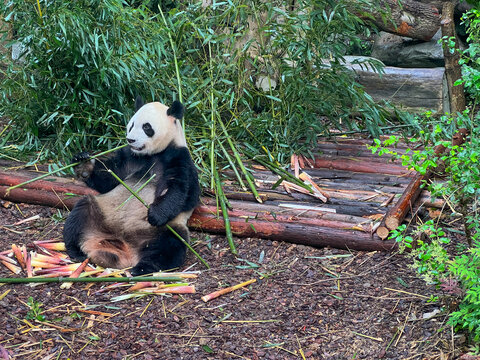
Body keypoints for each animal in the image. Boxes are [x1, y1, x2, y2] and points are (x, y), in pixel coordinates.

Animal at [62, 97, 200, 274]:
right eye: (132, 125)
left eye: (147, 127)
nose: (130, 140)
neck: (153, 154)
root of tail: (123, 249)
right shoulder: (130, 158)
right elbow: (109, 178)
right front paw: (83, 163)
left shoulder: (179, 158)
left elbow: (181, 191)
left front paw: (155, 214)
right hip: (101, 212)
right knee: (79, 215)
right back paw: (76, 252)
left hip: (160, 230)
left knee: (169, 245)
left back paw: (142, 268)